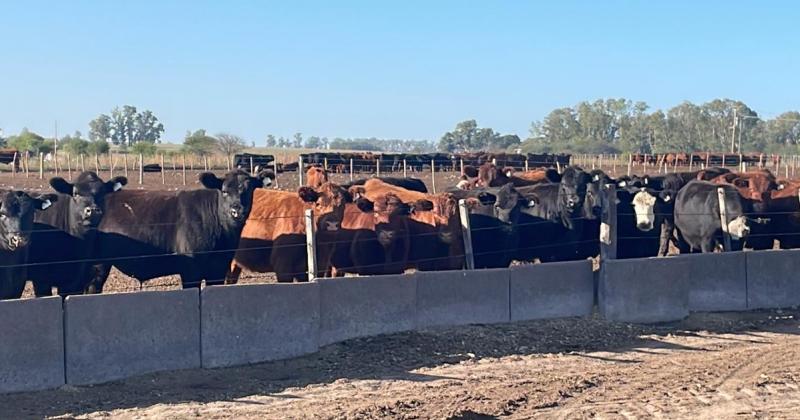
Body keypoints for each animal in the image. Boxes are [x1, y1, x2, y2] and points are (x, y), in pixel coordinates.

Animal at [85, 169, 272, 290]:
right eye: (224, 191)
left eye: (249, 190)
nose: (237, 210)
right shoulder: (190, 270)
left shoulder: (218, 269)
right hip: (98, 265)